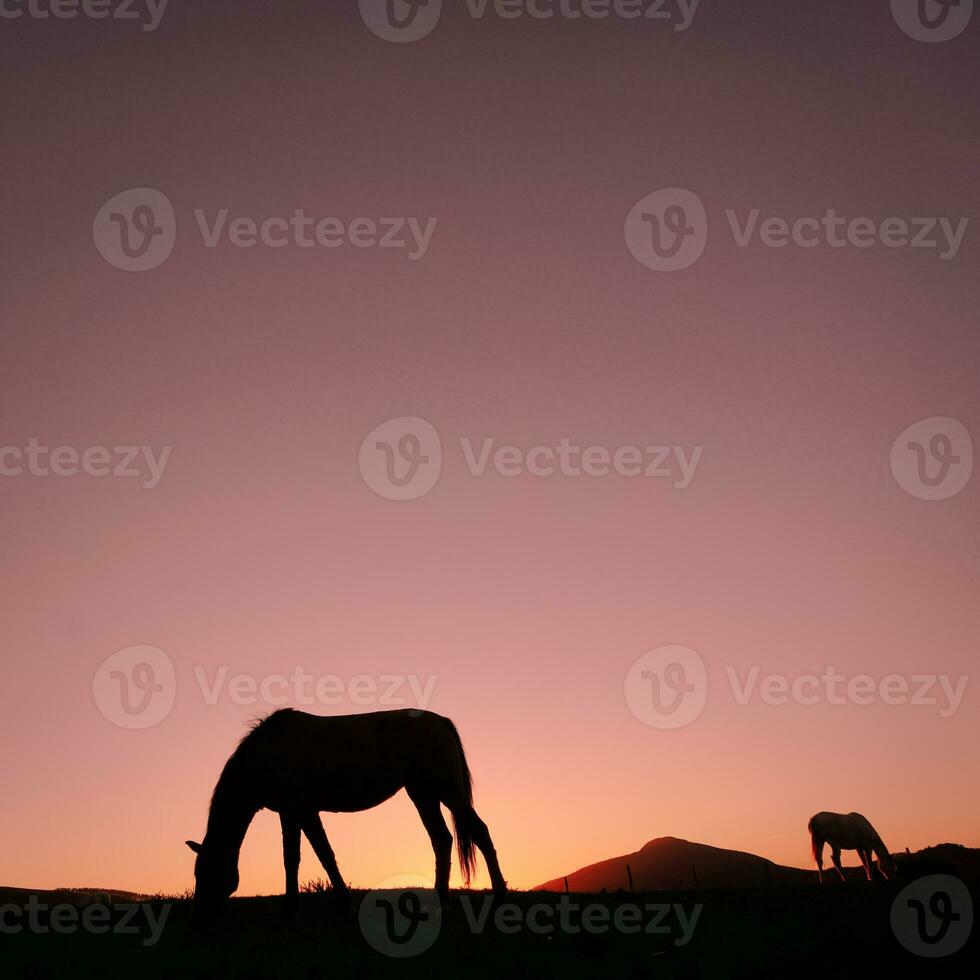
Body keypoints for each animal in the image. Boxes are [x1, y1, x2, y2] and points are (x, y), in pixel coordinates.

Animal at [186, 708, 506, 916]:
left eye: (207, 871)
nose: (201, 912)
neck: (268, 755)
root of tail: (440, 721)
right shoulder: (291, 813)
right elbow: (296, 858)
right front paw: (294, 906)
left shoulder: (303, 810)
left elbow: (321, 855)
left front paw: (337, 903)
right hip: (423, 795)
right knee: (441, 839)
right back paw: (440, 898)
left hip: (447, 792)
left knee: (479, 832)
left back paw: (500, 896)